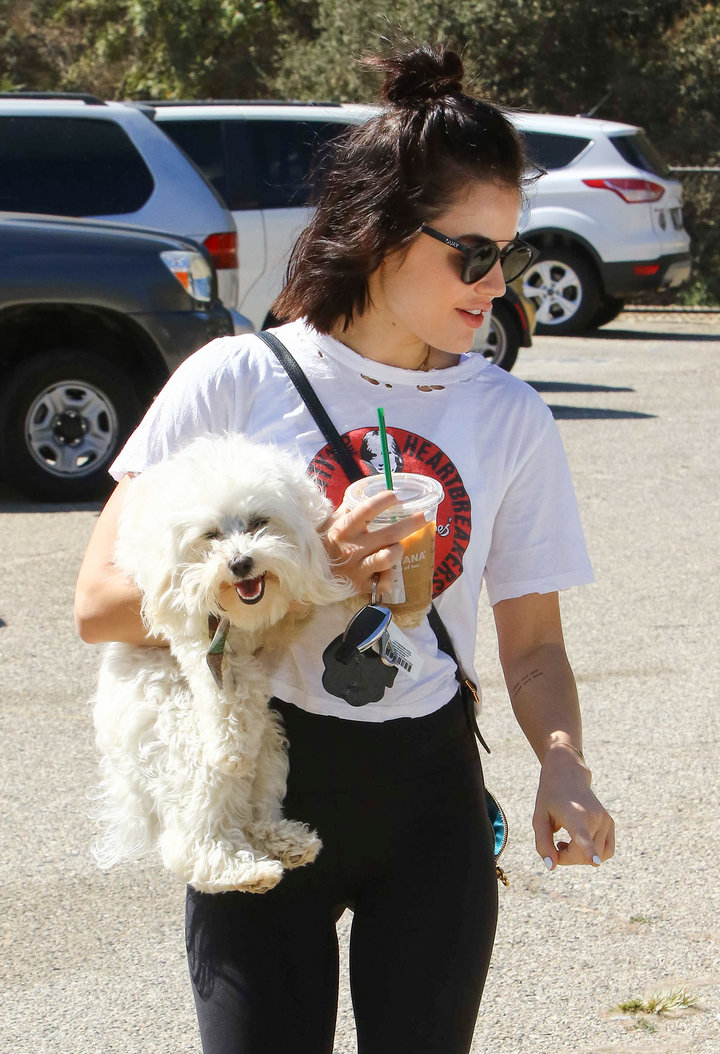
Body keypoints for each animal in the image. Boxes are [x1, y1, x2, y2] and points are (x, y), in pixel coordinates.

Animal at [91, 432, 349, 893]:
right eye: (210, 535)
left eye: (258, 522)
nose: (240, 563)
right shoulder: (195, 628)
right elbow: (226, 683)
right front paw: (231, 745)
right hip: (182, 734)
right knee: (192, 835)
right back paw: (237, 868)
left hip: (270, 742)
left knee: (252, 804)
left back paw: (283, 840)